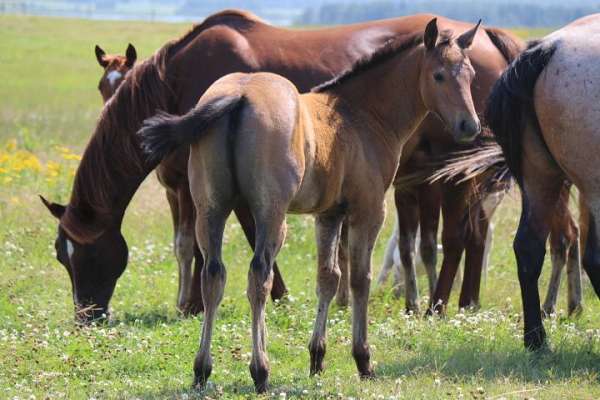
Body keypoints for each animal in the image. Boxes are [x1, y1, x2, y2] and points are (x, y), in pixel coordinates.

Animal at [41, 10, 516, 322]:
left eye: (80, 255)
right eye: (61, 257)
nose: (86, 316)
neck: (178, 81)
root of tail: (489, 37)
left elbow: (228, 240)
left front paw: (221, 302)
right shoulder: (189, 183)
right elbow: (192, 244)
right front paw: (192, 302)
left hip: (458, 174)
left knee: (458, 237)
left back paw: (438, 304)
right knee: (474, 235)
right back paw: (465, 302)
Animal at [138, 18, 480, 394]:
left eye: (471, 75)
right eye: (438, 75)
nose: (470, 125)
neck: (360, 115)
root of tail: (238, 95)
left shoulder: (328, 214)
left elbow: (328, 277)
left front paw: (317, 357)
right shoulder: (368, 211)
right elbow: (359, 279)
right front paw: (363, 359)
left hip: (210, 210)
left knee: (213, 276)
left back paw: (202, 369)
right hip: (272, 216)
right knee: (259, 277)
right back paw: (260, 370)